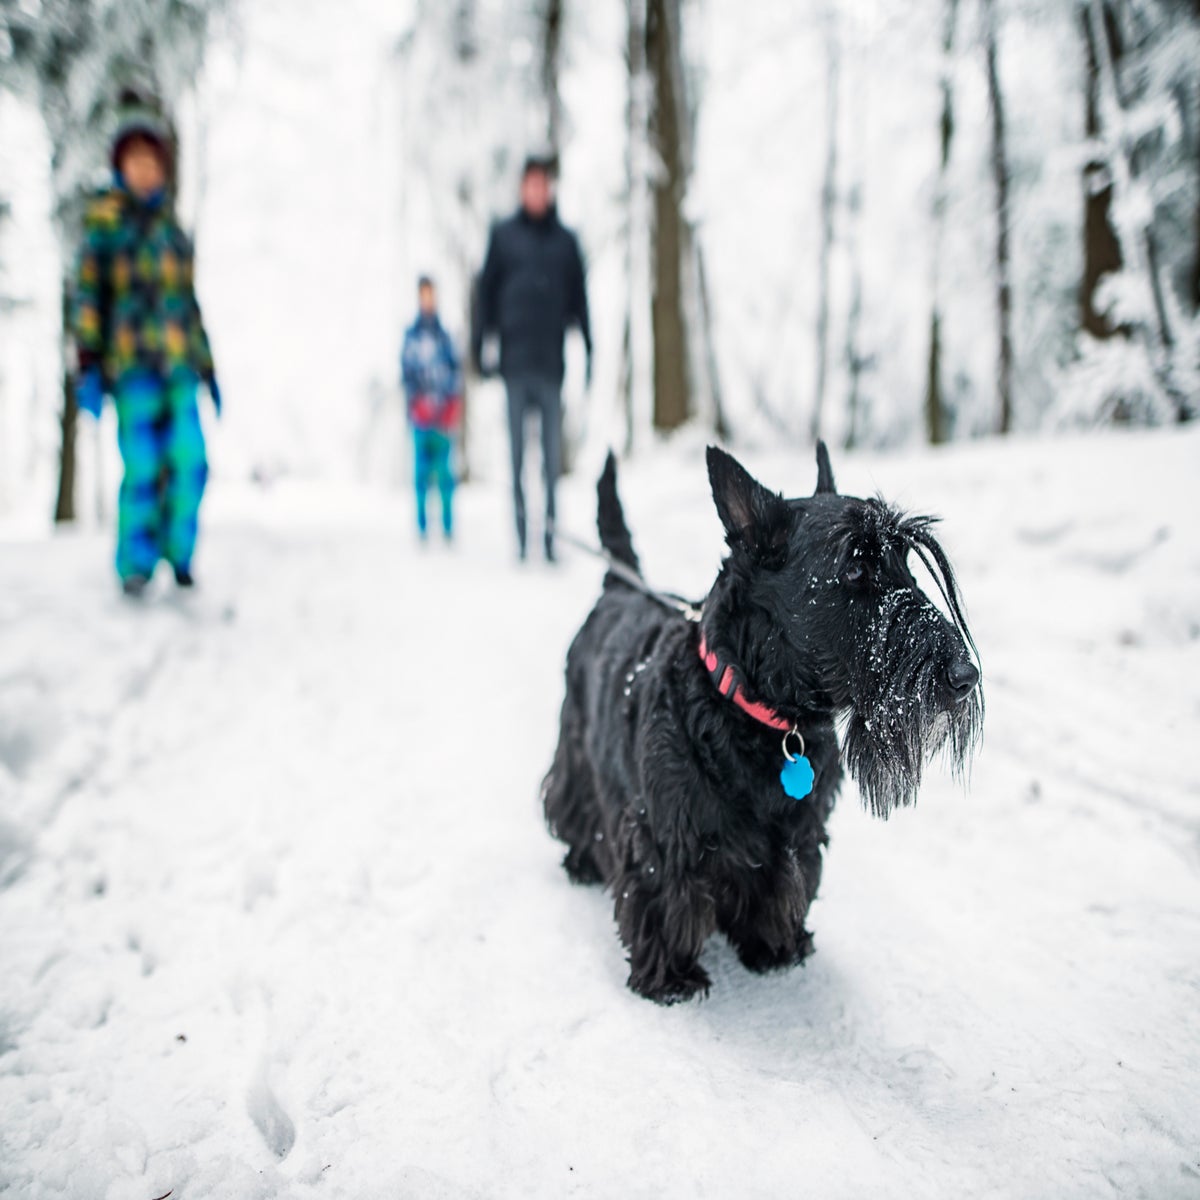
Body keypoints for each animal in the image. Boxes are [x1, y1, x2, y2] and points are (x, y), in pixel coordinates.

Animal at [544, 441, 984, 1003]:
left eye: (905, 561)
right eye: (855, 569)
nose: (964, 676)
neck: (763, 720)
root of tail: (617, 586)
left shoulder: (798, 840)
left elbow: (781, 890)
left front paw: (776, 947)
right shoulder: (665, 838)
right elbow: (665, 899)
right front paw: (670, 977)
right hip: (577, 744)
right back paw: (582, 861)